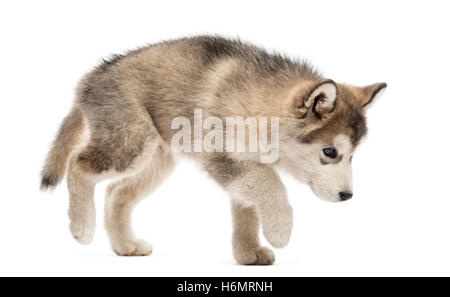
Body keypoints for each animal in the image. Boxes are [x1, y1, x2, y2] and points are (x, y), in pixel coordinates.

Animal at [40, 35, 386, 264]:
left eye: (352, 155)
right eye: (330, 152)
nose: (347, 196)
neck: (261, 105)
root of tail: (88, 80)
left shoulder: (246, 165)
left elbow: (248, 208)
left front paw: (248, 252)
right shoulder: (221, 154)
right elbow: (270, 184)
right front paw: (280, 230)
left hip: (158, 158)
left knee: (115, 192)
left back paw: (125, 245)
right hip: (129, 140)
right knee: (78, 164)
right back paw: (81, 226)